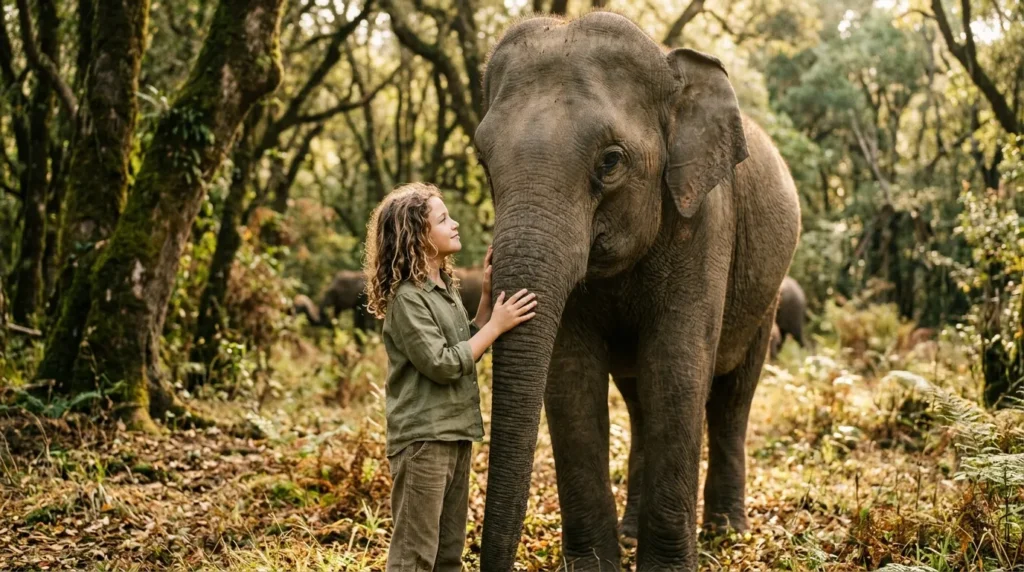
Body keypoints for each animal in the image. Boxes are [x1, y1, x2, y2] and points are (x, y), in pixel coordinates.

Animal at [474, 13, 801, 571]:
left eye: (610, 162)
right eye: (483, 161)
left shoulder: (706, 219)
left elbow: (677, 367)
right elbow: (571, 376)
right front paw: (595, 565)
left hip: (768, 295)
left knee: (733, 397)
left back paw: (727, 532)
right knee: (640, 402)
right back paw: (633, 531)